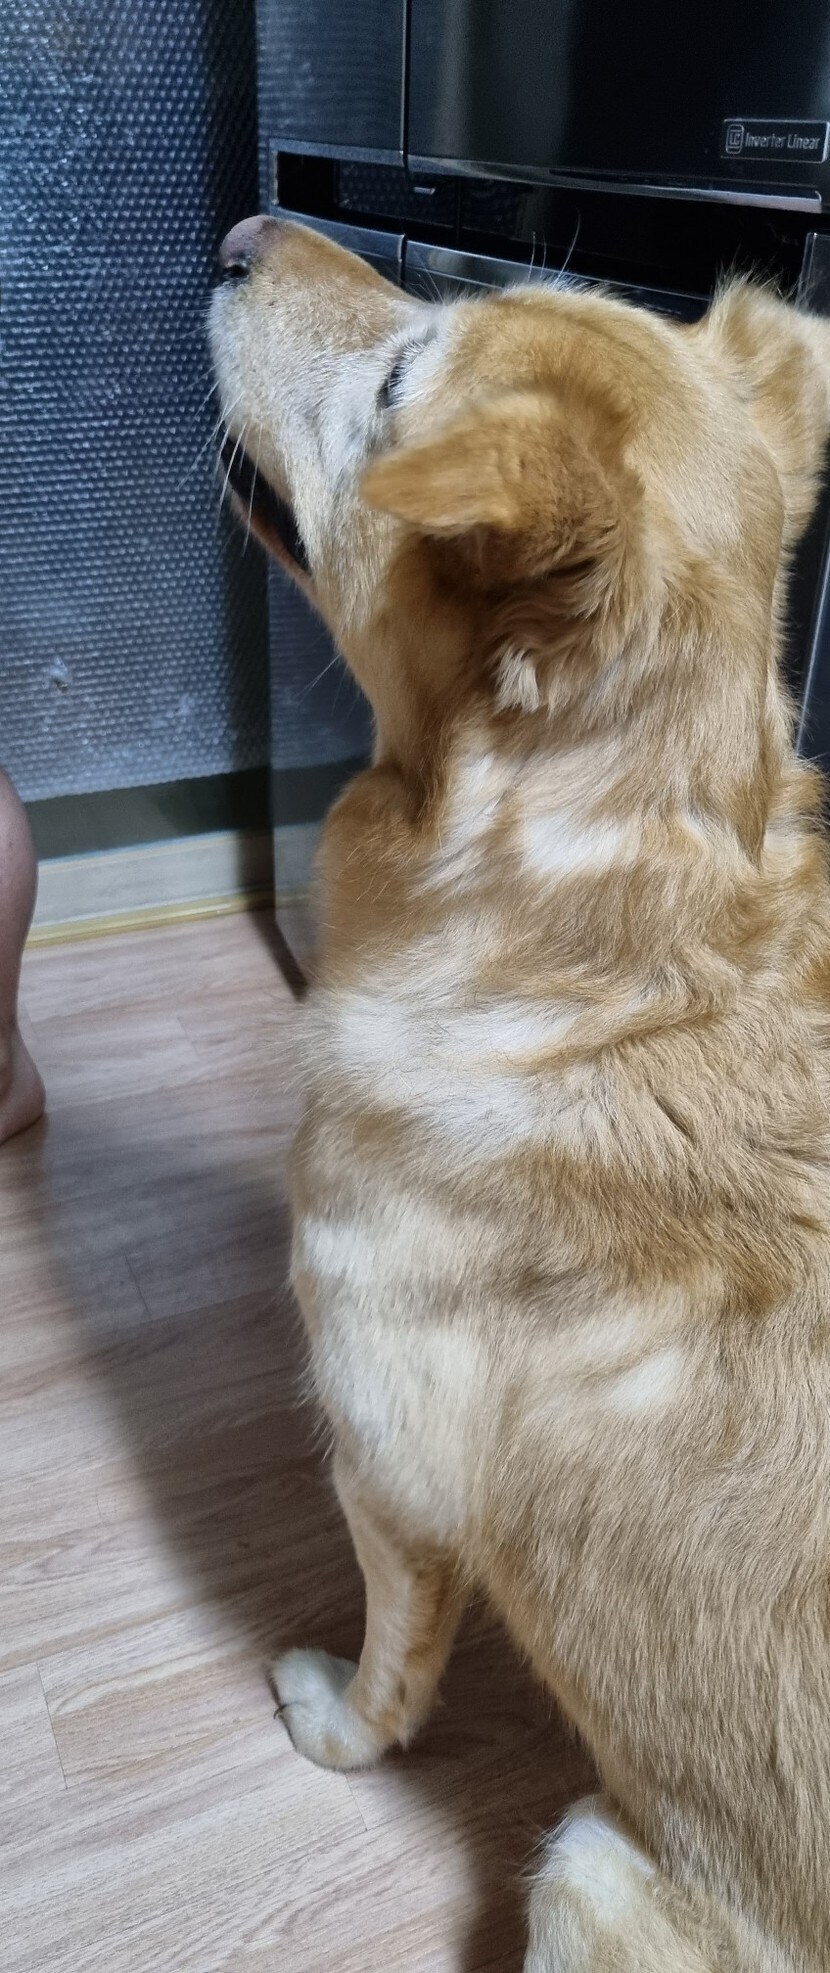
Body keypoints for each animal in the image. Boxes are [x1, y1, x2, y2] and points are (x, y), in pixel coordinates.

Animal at [211, 216, 830, 1970]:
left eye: (400, 385)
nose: (241, 232)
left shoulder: (386, 1474)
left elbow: (388, 1667)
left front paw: (332, 1721)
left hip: (585, 1871)